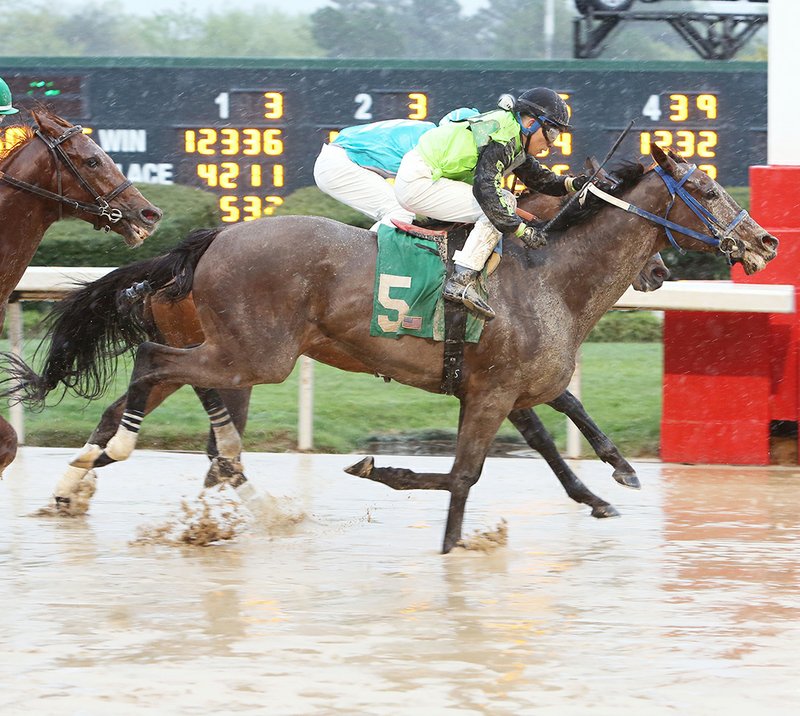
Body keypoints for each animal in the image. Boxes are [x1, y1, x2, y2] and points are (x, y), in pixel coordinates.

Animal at [3, 144, 780, 548]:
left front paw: (608, 481)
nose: (766, 240)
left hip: (236, 351)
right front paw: (421, 510)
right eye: (708, 189)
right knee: (155, 367)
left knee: (154, 396)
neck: (551, 275)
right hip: (255, 355)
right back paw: (148, 461)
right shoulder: (493, 391)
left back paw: (97, 477)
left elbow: (549, 435)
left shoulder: (500, 389)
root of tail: (216, 235)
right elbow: (465, 475)